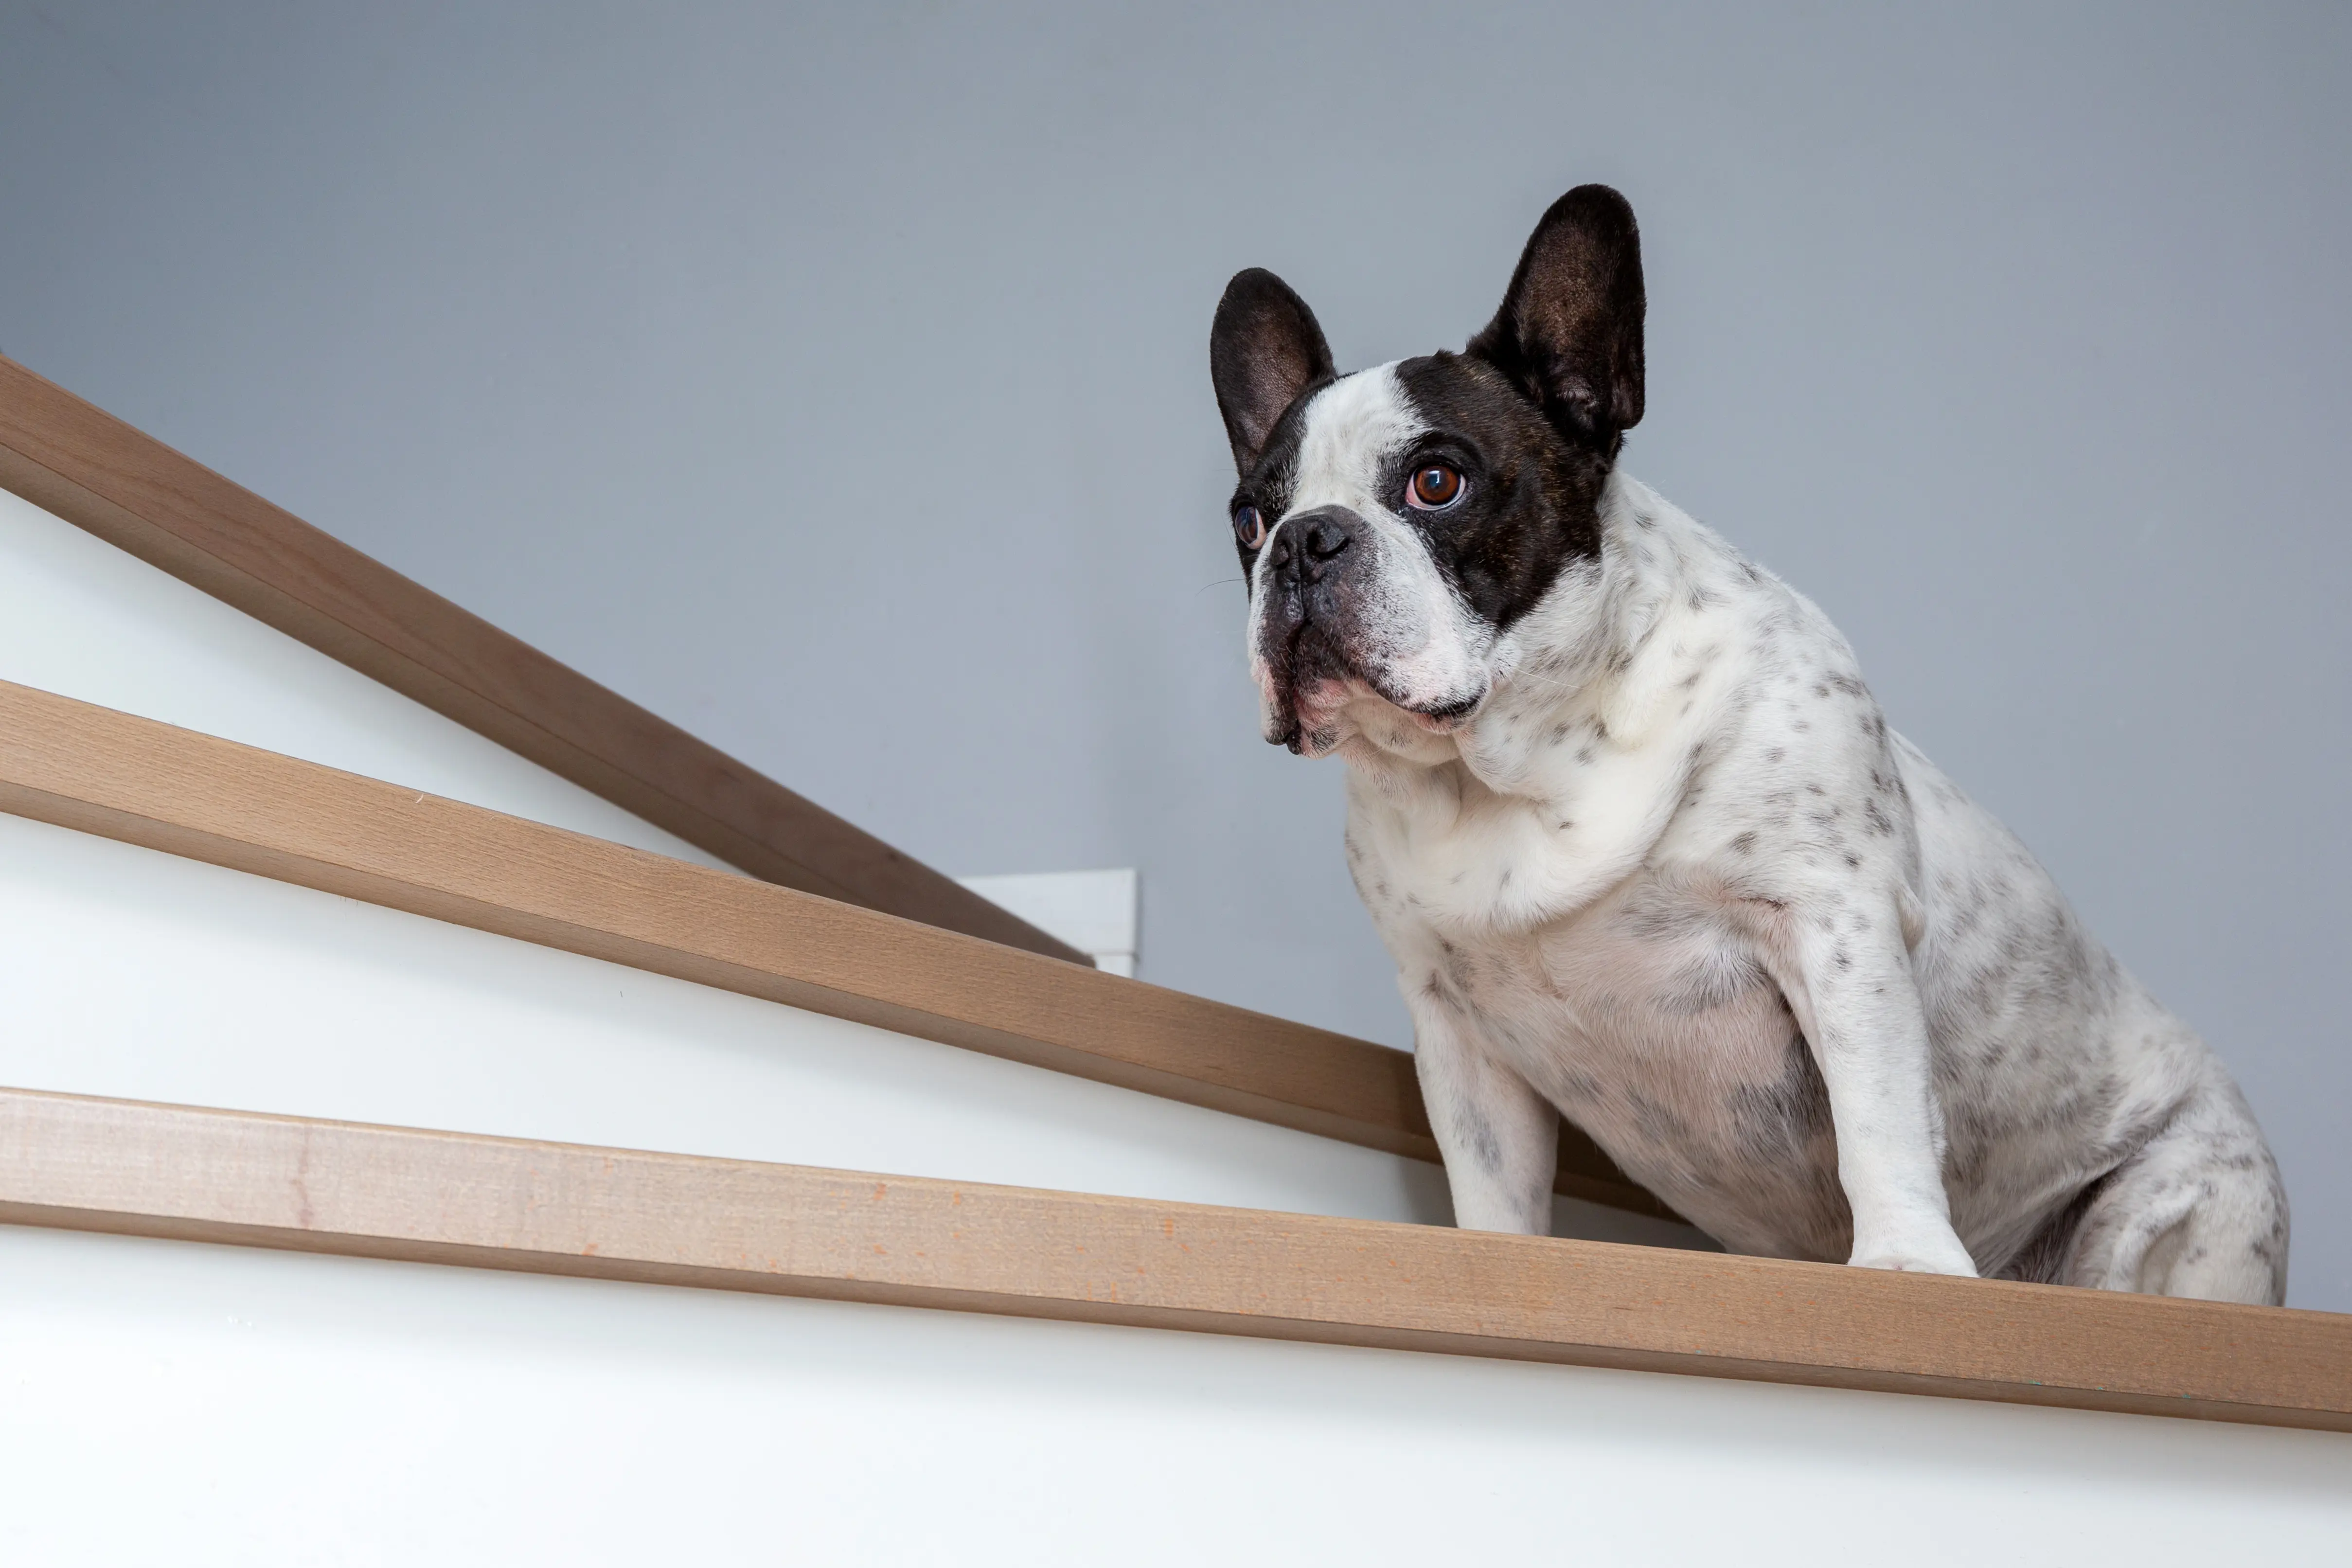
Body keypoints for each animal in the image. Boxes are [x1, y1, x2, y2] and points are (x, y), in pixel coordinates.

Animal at [1223, 184, 2286, 1307]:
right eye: (1248, 518)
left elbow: (1877, 1113)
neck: (1517, 766)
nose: (1304, 540)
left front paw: (1907, 1259)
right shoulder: (1456, 1026)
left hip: (2174, 1214)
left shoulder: (1834, 922)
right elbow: (1491, 1181)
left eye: (1436, 483)